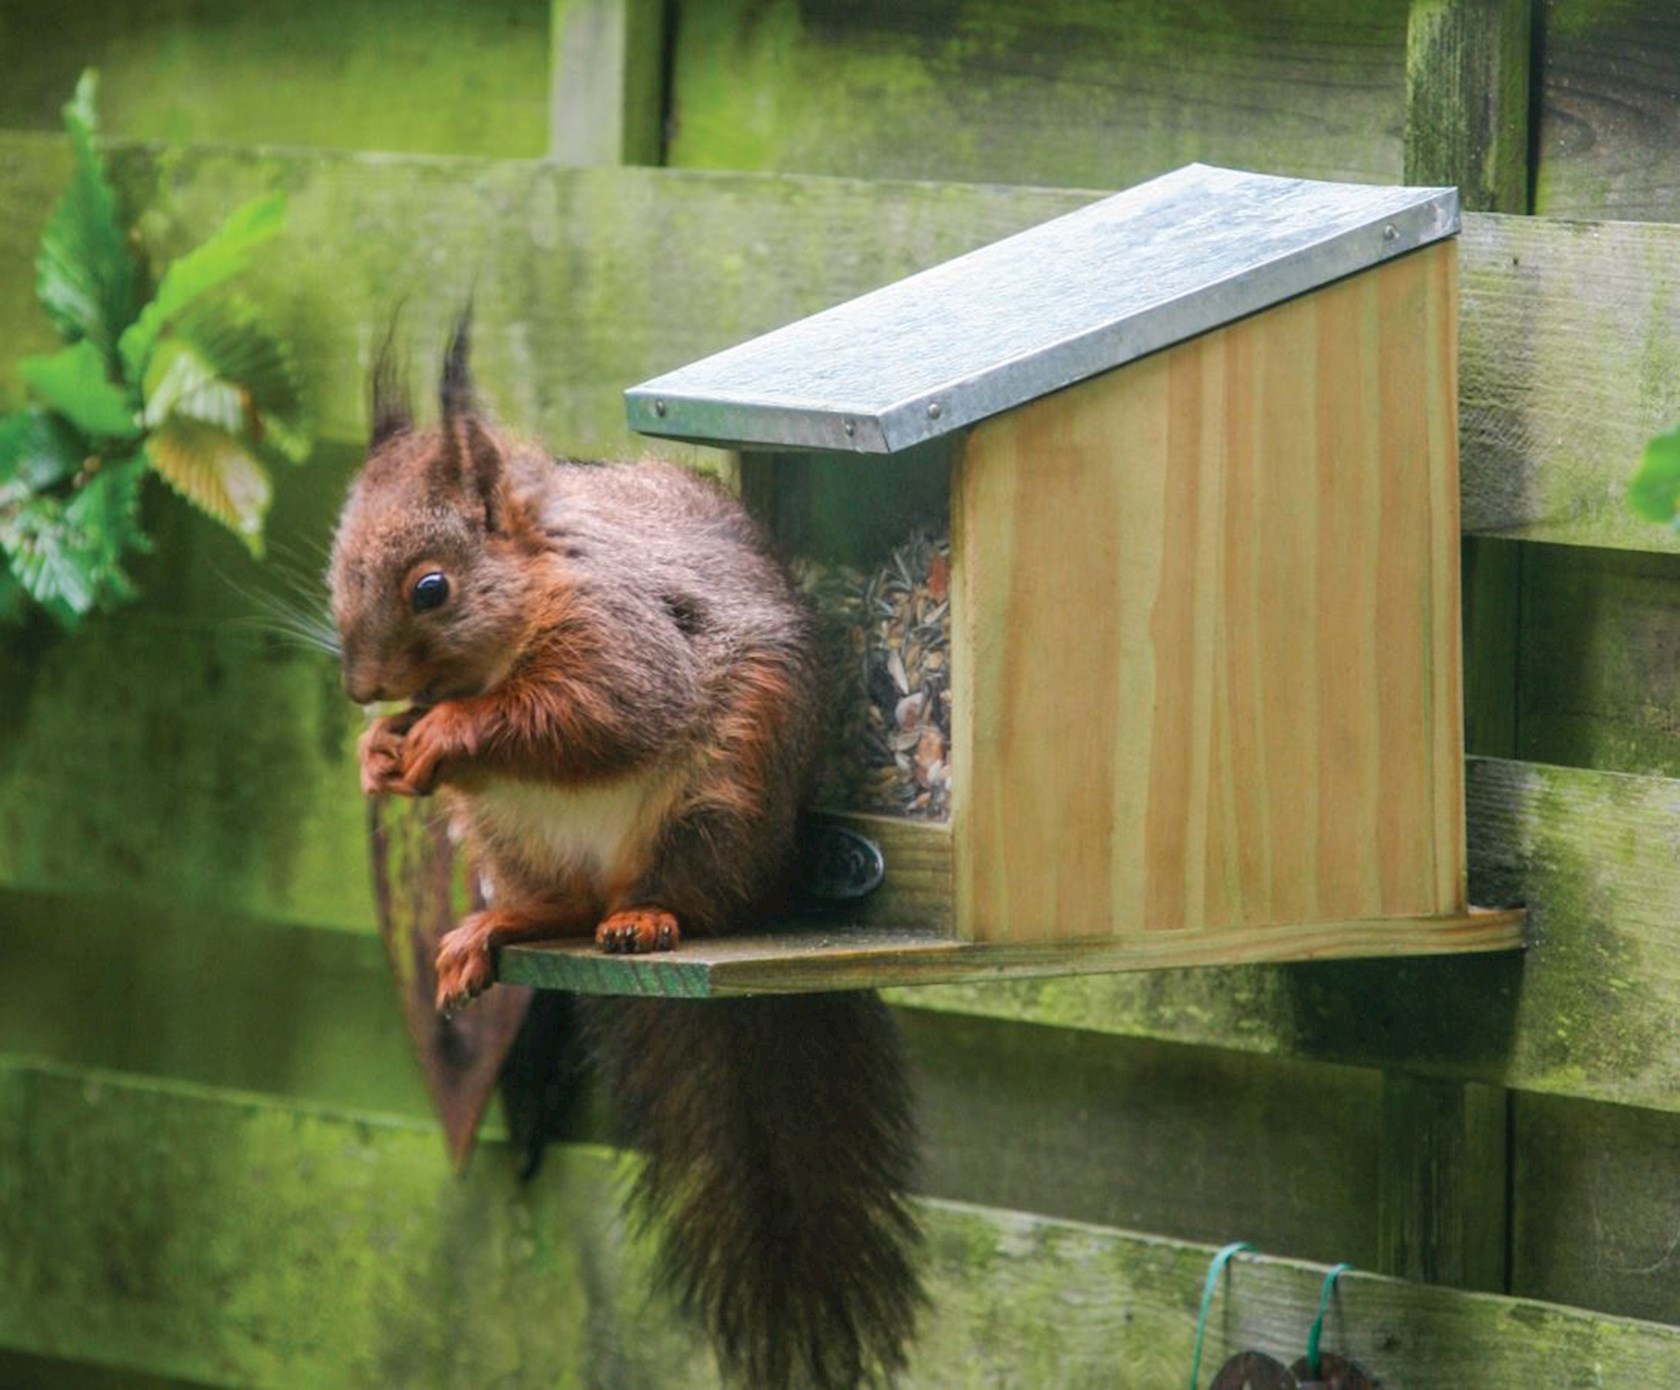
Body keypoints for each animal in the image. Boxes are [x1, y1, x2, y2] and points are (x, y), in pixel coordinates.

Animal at [325, 317, 920, 1390]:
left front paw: (445, 735)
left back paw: (647, 917)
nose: (361, 687)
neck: (536, 582)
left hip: (720, 798)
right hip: (515, 842)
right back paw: (489, 932)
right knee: (560, 904)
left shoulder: (627, 636)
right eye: (336, 567)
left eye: (431, 587)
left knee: (692, 895)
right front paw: (379, 753)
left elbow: (596, 713)